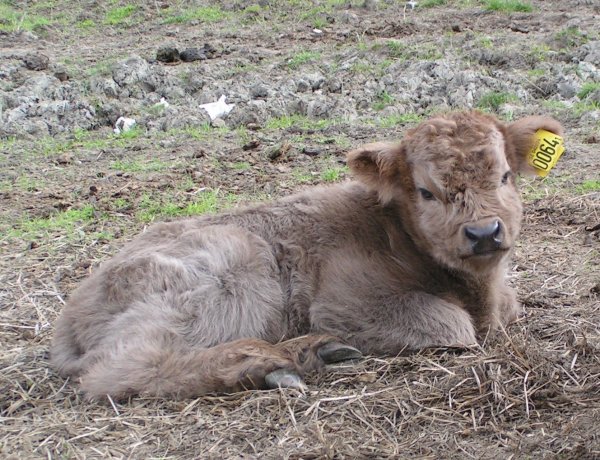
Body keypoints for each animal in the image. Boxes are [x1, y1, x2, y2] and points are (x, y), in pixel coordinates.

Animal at [50, 110, 564, 398]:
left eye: (504, 176)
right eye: (426, 191)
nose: (483, 232)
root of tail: (71, 314)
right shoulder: (345, 304)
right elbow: (452, 327)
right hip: (227, 269)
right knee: (122, 369)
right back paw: (271, 362)